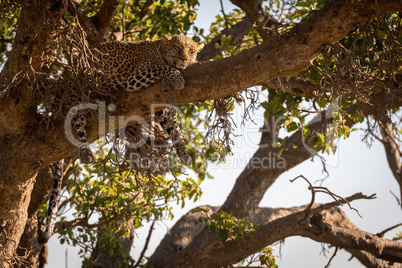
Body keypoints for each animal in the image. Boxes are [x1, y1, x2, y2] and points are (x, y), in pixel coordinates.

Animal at [69, 34, 204, 164]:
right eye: (177, 47)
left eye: (191, 50)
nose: (184, 59)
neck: (160, 50)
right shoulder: (135, 77)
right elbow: (162, 66)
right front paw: (178, 80)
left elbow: (175, 130)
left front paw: (184, 154)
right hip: (78, 93)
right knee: (77, 123)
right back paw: (86, 154)